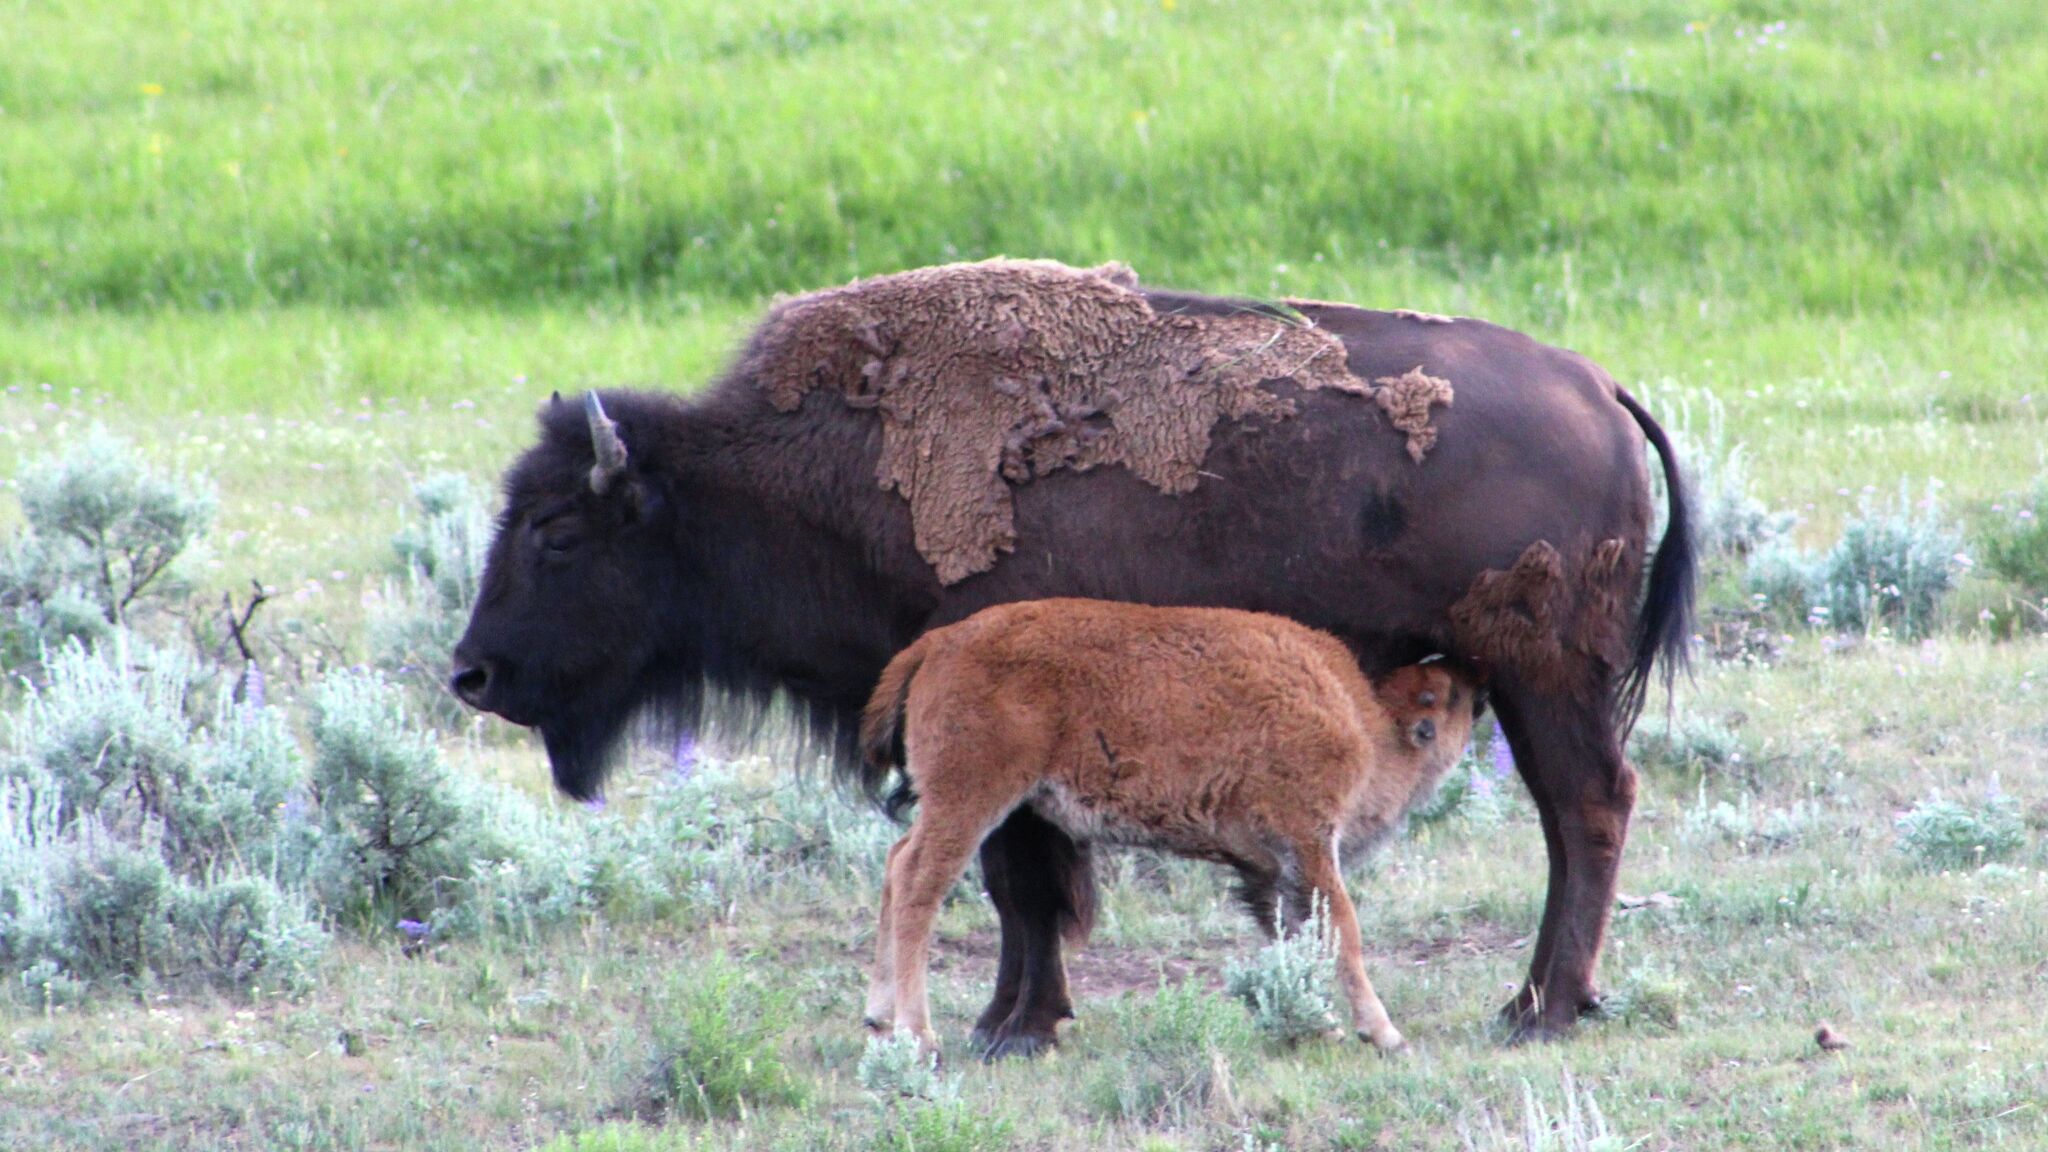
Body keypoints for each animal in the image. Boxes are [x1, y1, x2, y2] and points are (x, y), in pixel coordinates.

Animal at [856, 594, 1482, 1057]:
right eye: (1448, 698)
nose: (1472, 674)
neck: (1367, 725)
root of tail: (940, 643)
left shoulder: (1273, 870)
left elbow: (1297, 938)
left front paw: (1318, 1023)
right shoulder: (1308, 843)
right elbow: (1342, 933)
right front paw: (1385, 1034)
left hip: (953, 801)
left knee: (894, 861)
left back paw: (878, 1018)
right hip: (971, 798)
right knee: (918, 882)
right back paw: (918, 1037)